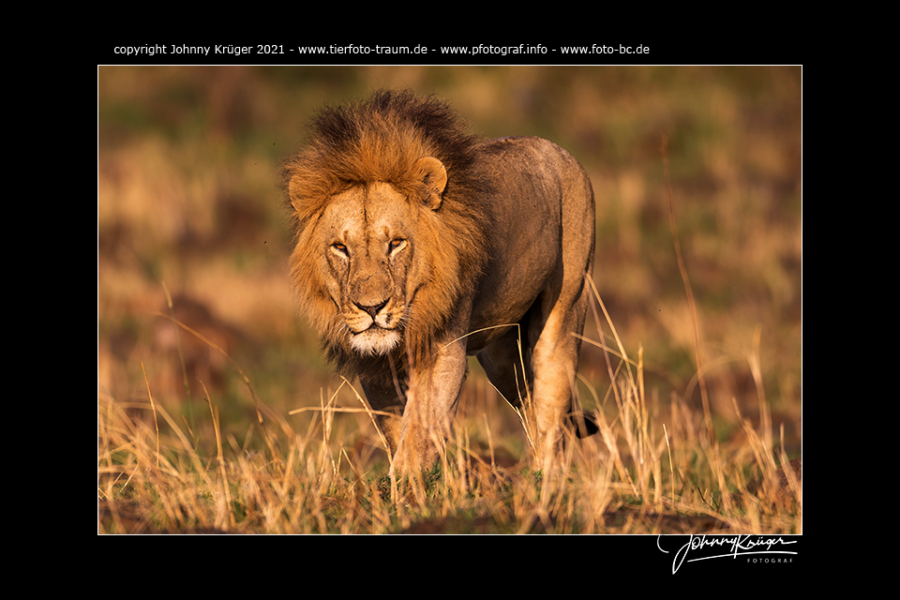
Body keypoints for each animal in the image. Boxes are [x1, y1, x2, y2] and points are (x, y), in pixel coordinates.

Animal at [284, 91, 596, 476]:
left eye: (396, 243)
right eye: (341, 248)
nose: (371, 308)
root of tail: (557, 148)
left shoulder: (440, 348)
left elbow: (419, 427)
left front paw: (405, 482)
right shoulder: (376, 367)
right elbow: (398, 429)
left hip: (564, 314)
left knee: (551, 403)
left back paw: (544, 478)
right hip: (502, 355)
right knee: (527, 400)